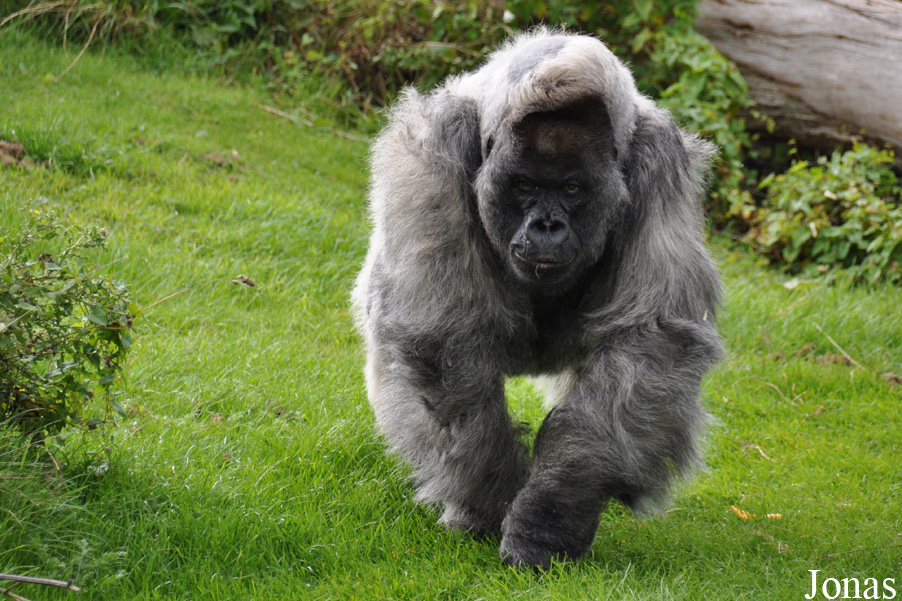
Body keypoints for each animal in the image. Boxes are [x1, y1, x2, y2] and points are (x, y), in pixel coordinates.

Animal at [352, 29, 723, 570]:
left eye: (570, 188)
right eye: (525, 185)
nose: (547, 225)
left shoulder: (661, 163)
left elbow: (650, 341)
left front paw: (552, 513)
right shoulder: (437, 144)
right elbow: (442, 338)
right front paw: (490, 502)